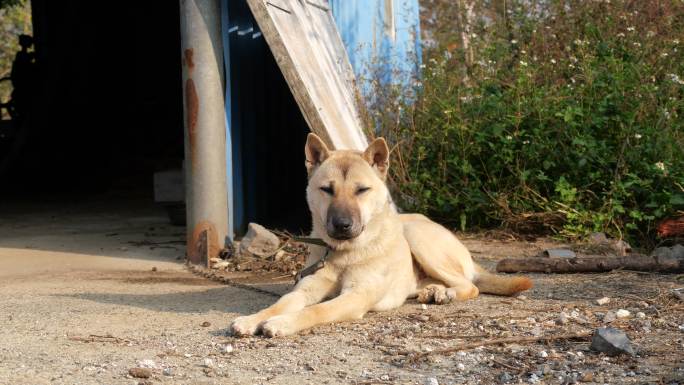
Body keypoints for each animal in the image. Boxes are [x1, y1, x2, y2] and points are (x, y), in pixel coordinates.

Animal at [227, 133, 532, 336]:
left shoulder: (355, 297)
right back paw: (434, 290)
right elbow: (280, 303)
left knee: (471, 285)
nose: (342, 225)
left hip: (417, 238)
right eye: (327, 189)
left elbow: (316, 310)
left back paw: (448, 293)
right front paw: (254, 318)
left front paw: (283, 323)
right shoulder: (305, 289)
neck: (343, 253)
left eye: (362, 190)